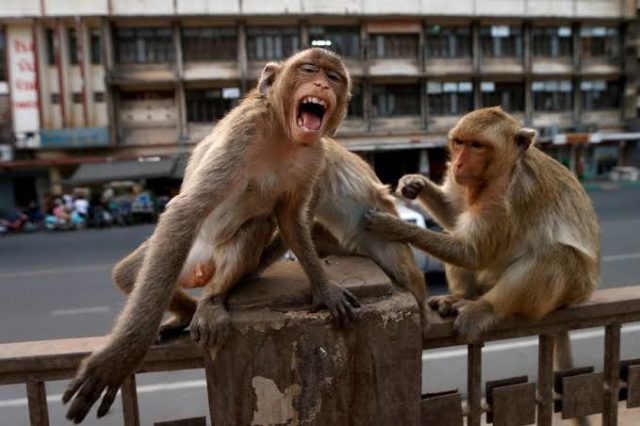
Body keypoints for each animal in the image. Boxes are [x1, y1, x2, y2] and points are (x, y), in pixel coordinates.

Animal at [62, 48, 360, 423]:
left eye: (333, 77)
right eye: (309, 69)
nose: (321, 85)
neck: (283, 134)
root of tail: (203, 266)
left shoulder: (315, 154)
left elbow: (291, 220)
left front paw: (323, 288)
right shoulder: (244, 132)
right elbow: (186, 209)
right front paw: (123, 354)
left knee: (255, 229)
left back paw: (210, 299)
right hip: (184, 252)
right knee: (131, 273)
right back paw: (186, 310)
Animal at [362, 107, 600, 349]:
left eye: (477, 145)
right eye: (459, 142)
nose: (458, 163)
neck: (501, 171)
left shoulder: (506, 197)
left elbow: (473, 253)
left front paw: (391, 226)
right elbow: (455, 217)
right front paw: (415, 184)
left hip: (569, 292)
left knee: (556, 255)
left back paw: (485, 308)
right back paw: (461, 296)